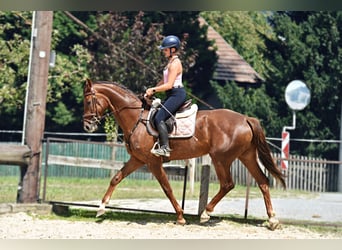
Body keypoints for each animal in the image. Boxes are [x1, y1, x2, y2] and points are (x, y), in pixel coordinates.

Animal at [83, 79, 286, 229]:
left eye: (88, 101)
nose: (87, 126)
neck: (137, 119)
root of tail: (245, 118)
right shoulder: (138, 159)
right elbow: (116, 178)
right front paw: (101, 208)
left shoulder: (153, 162)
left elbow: (167, 188)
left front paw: (180, 217)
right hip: (246, 156)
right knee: (262, 182)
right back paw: (273, 220)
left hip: (221, 158)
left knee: (228, 184)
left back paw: (205, 213)